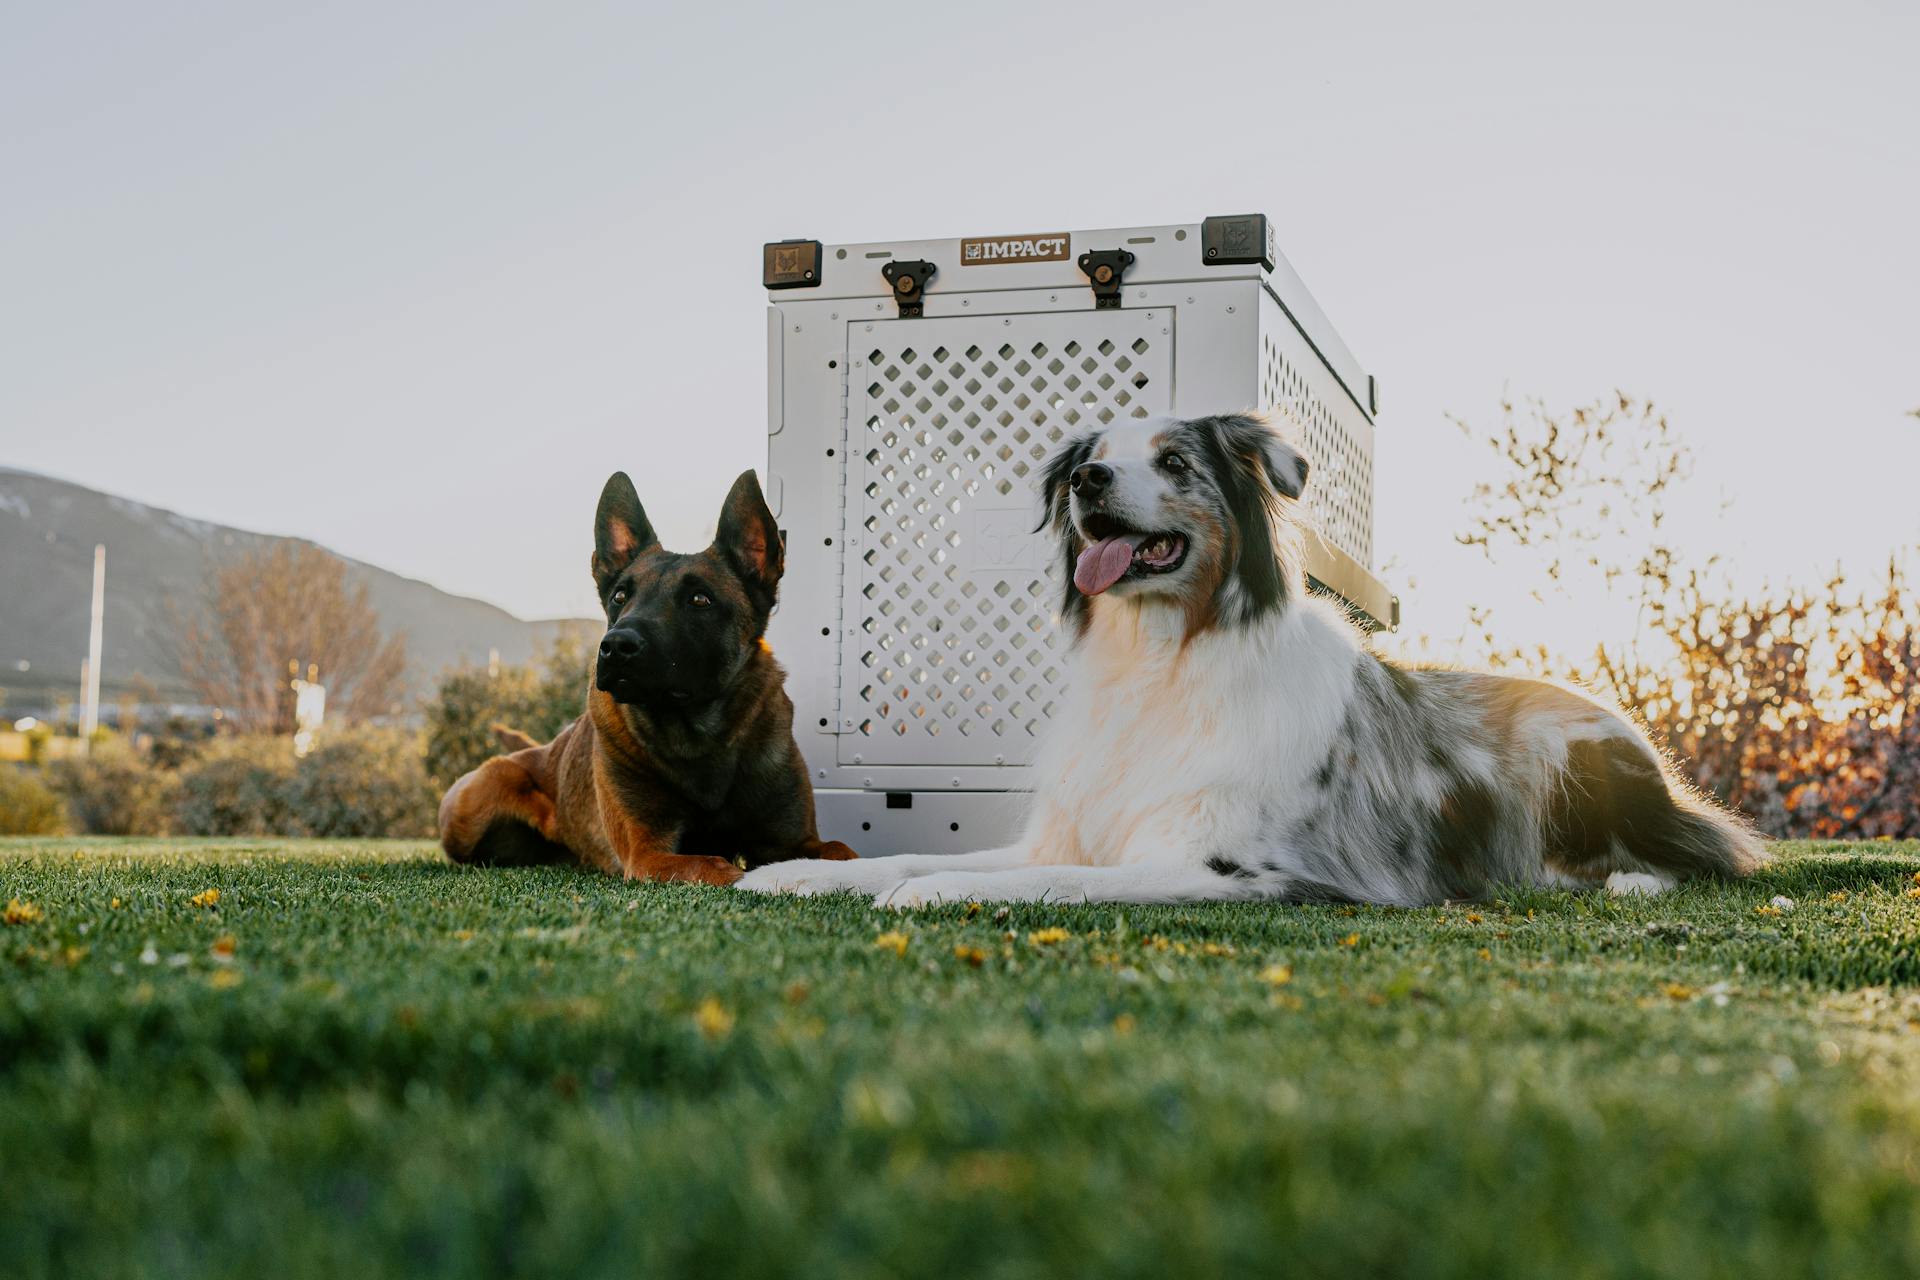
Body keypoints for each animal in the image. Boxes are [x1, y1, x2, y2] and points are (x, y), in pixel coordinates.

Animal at [439, 468, 860, 882]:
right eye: (620, 597)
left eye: (700, 599)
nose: (615, 646)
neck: (699, 740)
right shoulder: (648, 853)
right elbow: (714, 866)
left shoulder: (795, 840)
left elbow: (842, 850)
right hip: (473, 805)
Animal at [741, 412, 1758, 909]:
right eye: (1094, 459)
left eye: (1175, 463)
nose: (1086, 482)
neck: (1162, 658)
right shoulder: (1074, 830)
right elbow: (911, 856)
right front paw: (799, 875)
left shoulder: (1231, 864)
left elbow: (1038, 882)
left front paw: (938, 890)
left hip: (1571, 756)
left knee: (1708, 856)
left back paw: (1623, 878)